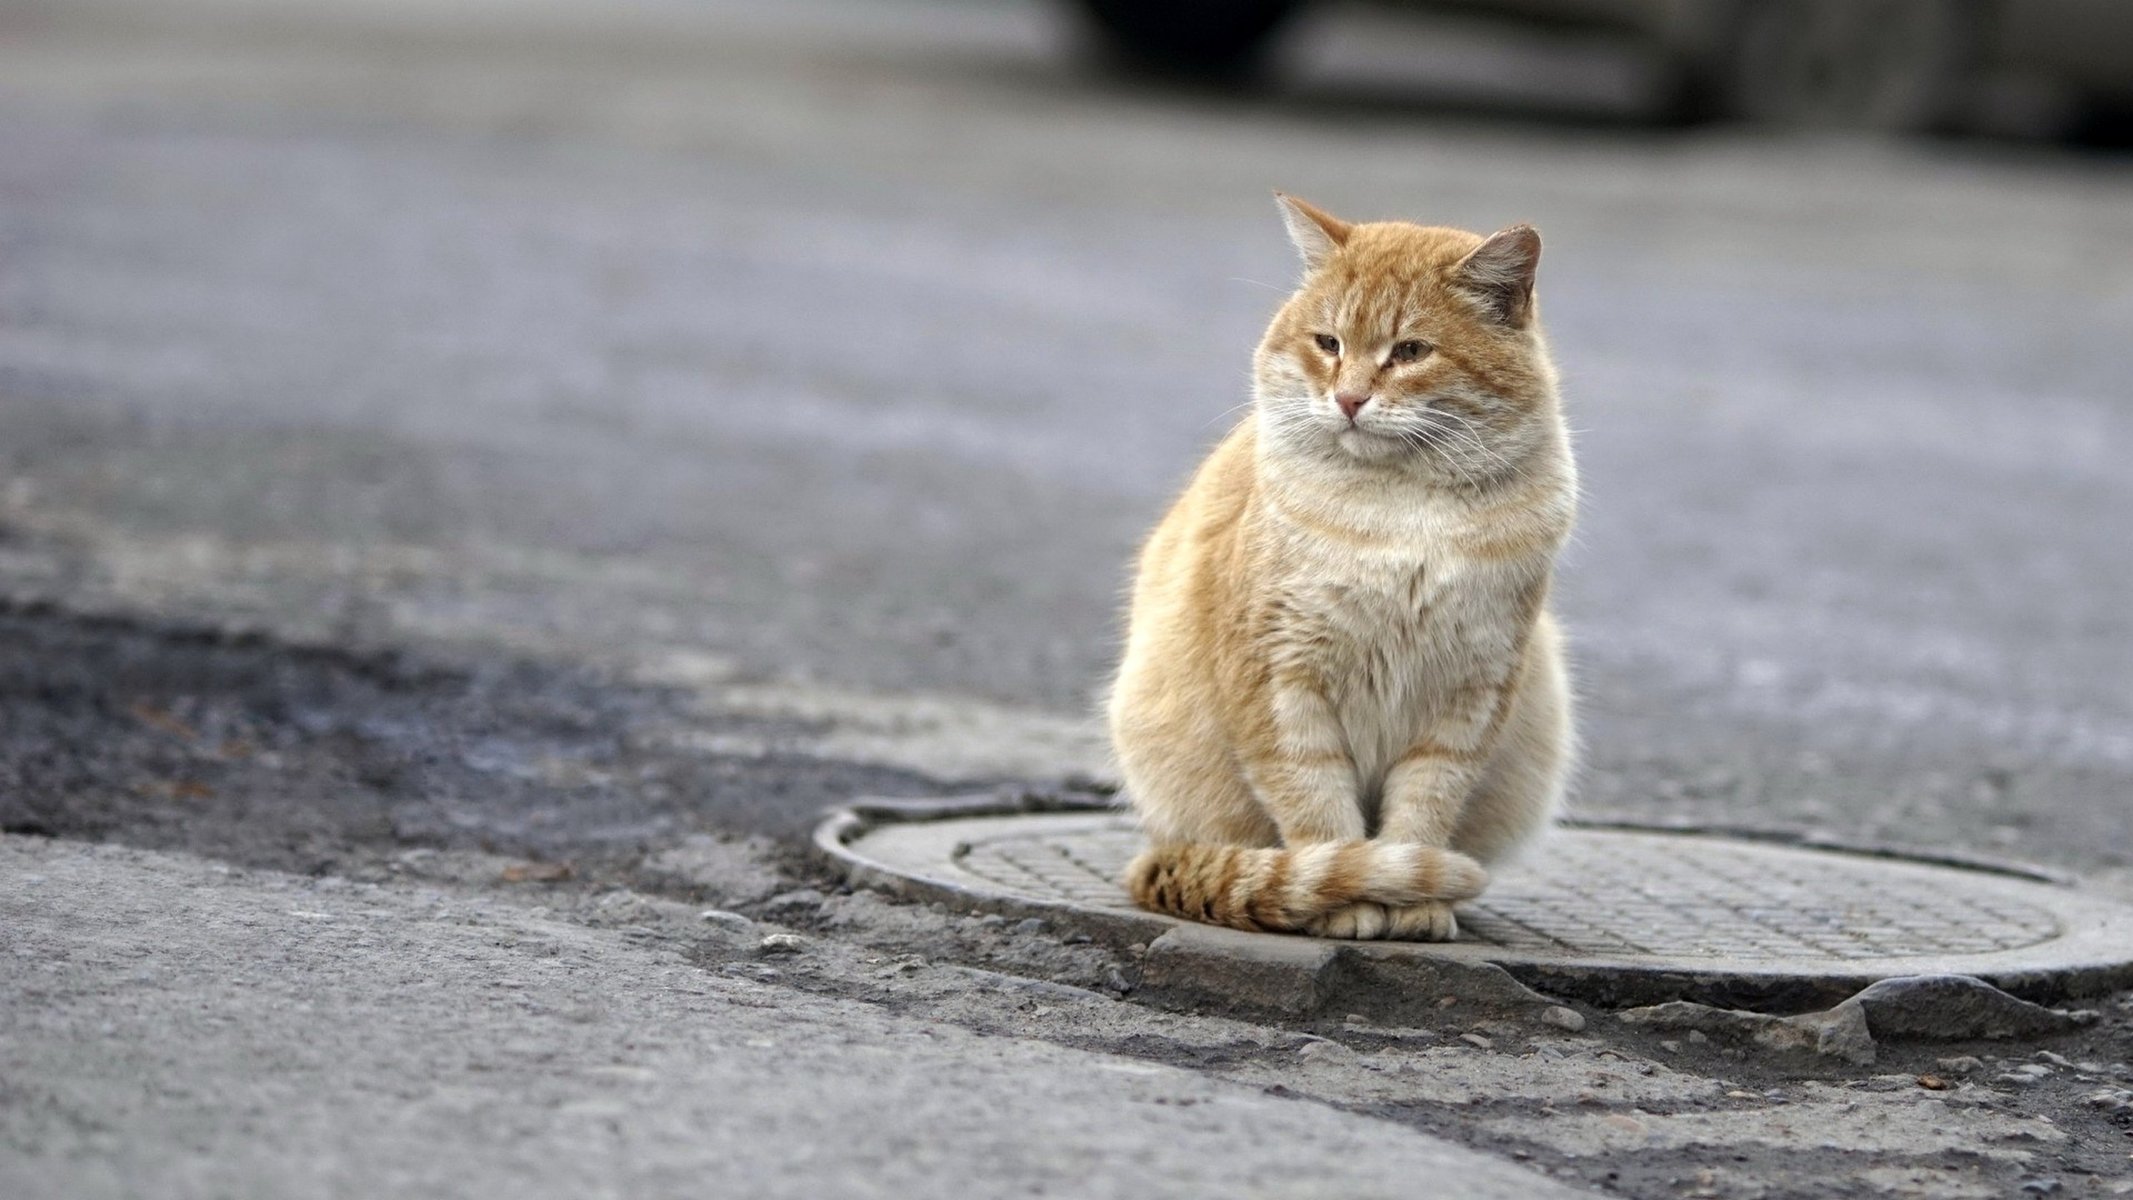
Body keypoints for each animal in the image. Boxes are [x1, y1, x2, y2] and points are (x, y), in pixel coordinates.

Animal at [1109, 197, 1578, 942]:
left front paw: (1414, 904)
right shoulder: (1280, 681)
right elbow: (1318, 809)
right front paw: (1351, 899)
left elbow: (1423, 808)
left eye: (1411, 351)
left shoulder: (1470, 694)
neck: (1403, 511)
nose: (1350, 399)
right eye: (1328, 343)